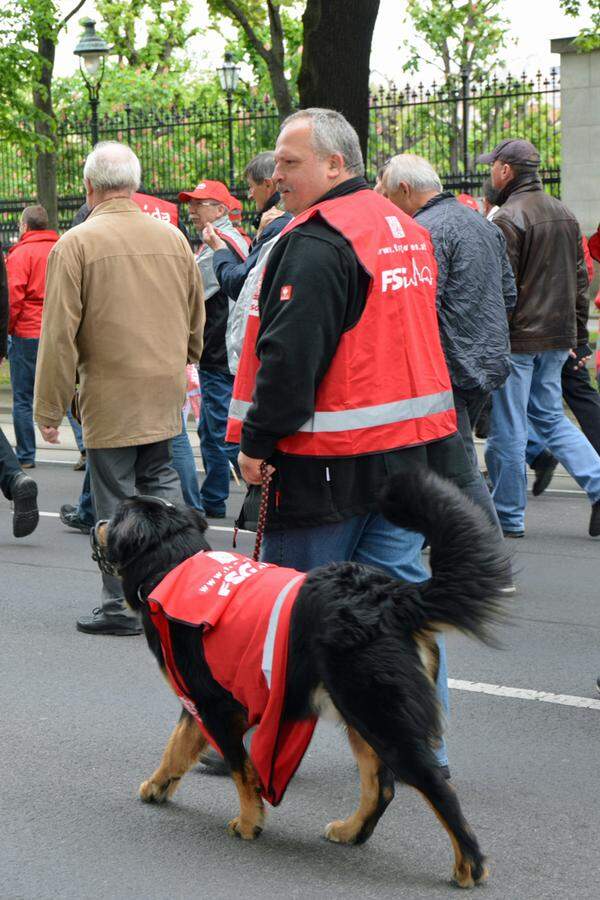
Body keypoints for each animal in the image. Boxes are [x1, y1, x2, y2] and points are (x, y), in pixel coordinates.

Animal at [91, 468, 508, 888]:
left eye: (116, 517)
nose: (97, 522)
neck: (172, 567)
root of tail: (391, 596)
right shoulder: (199, 702)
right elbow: (177, 747)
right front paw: (157, 785)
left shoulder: (214, 705)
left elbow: (241, 769)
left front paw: (249, 822)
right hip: (359, 715)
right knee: (382, 787)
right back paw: (351, 832)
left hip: (377, 712)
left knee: (436, 787)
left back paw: (469, 865)